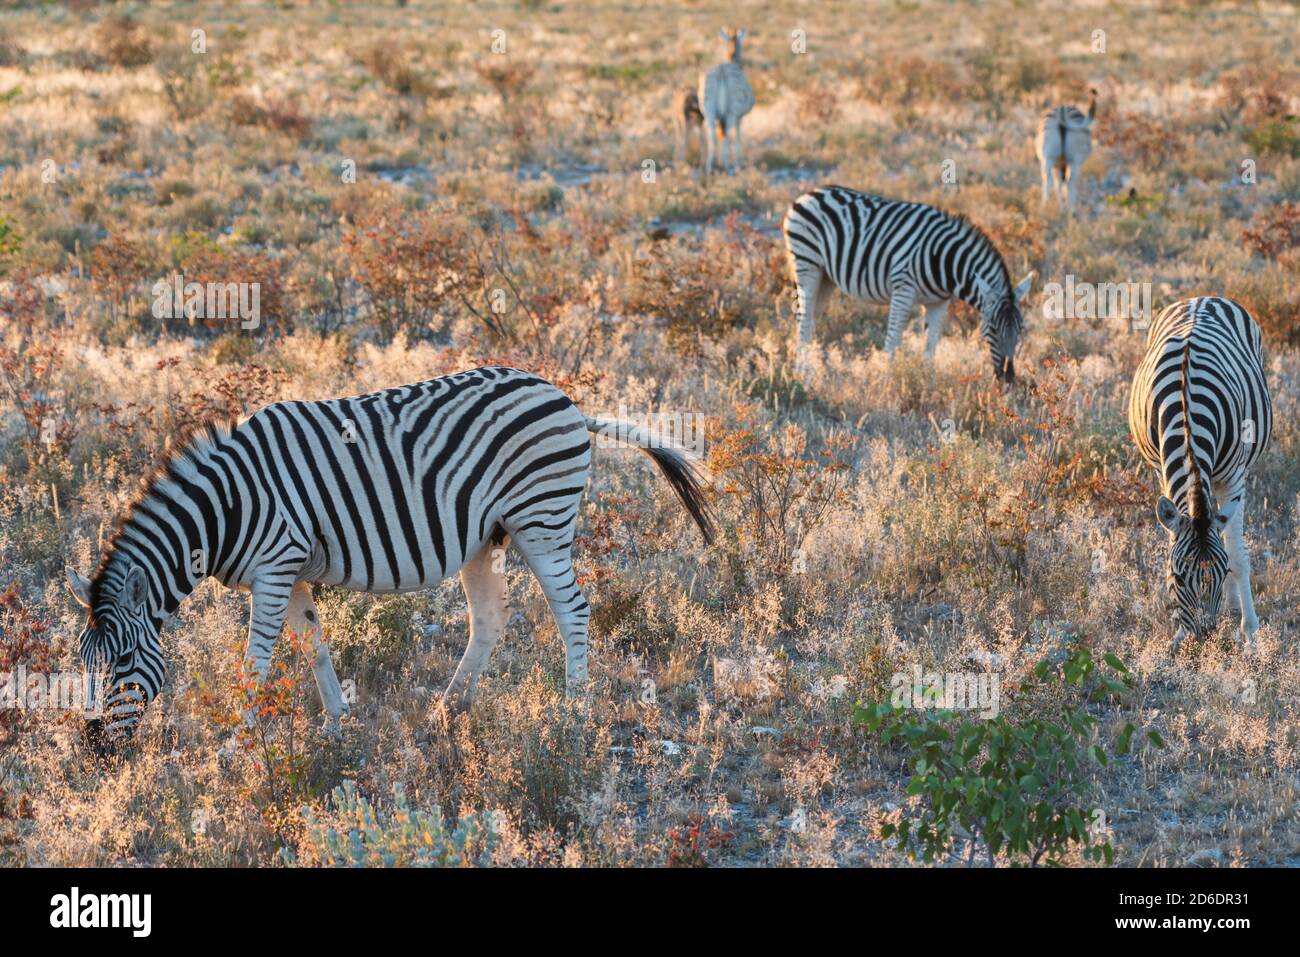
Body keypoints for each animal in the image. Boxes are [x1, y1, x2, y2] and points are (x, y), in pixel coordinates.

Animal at [65, 366, 717, 754]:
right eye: (84, 663)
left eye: (123, 660)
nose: (94, 747)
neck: (226, 508)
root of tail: (570, 403)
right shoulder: (291, 572)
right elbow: (314, 646)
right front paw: (336, 725)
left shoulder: (275, 568)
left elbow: (258, 661)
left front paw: (239, 742)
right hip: (487, 537)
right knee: (491, 619)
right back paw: (448, 710)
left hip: (541, 521)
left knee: (572, 611)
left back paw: (573, 714)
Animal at [696, 28, 759, 175]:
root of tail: (721, 71)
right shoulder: (739, 118)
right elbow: (737, 138)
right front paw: (737, 164)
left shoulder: (720, 117)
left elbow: (721, 135)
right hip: (731, 113)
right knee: (728, 136)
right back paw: (727, 167)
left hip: (709, 112)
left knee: (713, 136)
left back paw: (710, 167)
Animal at [780, 184, 1034, 379]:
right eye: (992, 329)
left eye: (1021, 329)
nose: (1008, 378)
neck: (945, 261)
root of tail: (809, 193)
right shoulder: (903, 290)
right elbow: (893, 340)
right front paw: (889, 382)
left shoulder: (939, 302)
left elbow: (931, 345)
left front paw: (927, 383)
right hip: (807, 264)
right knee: (804, 319)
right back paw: (802, 373)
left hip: (826, 277)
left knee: (812, 318)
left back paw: (812, 368)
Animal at [1128, 297, 1268, 650]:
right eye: (1177, 578)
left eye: (1221, 572)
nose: (1202, 642)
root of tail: (1201, 299)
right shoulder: (1163, 469)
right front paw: (1178, 631)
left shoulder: (1234, 477)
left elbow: (1238, 553)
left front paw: (1250, 633)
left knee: (1225, 530)